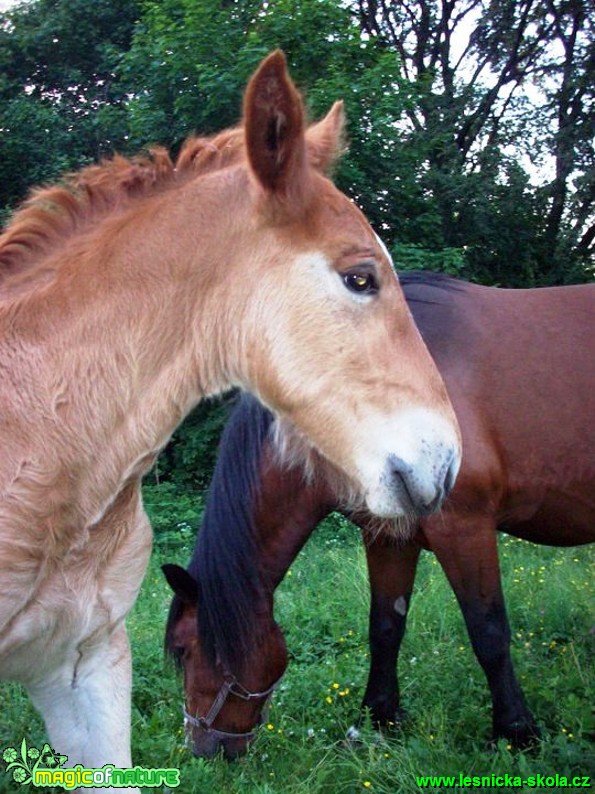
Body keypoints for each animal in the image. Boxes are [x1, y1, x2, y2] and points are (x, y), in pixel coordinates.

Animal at [164, 270, 595, 756]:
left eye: (184, 649)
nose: (204, 749)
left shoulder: (464, 527)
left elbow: (489, 632)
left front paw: (516, 732)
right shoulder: (388, 535)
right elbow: (385, 627)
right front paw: (378, 718)